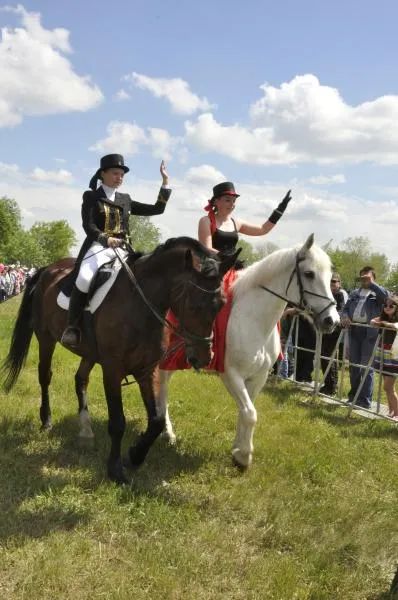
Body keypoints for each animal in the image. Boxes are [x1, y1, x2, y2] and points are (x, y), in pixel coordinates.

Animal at [2, 236, 236, 482]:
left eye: (222, 304)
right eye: (193, 305)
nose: (203, 358)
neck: (140, 305)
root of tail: (49, 268)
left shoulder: (147, 370)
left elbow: (156, 420)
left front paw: (135, 456)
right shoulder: (112, 370)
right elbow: (118, 422)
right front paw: (115, 469)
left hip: (89, 353)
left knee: (80, 379)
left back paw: (85, 430)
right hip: (45, 338)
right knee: (45, 376)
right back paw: (46, 419)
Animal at [157, 234, 340, 468]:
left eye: (330, 276)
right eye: (309, 274)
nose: (331, 321)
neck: (253, 320)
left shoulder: (258, 377)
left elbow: (246, 411)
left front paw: (237, 449)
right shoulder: (231, 374)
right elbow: (250, 413)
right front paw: (244, 456)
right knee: (162, 386)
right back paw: (167, 431)